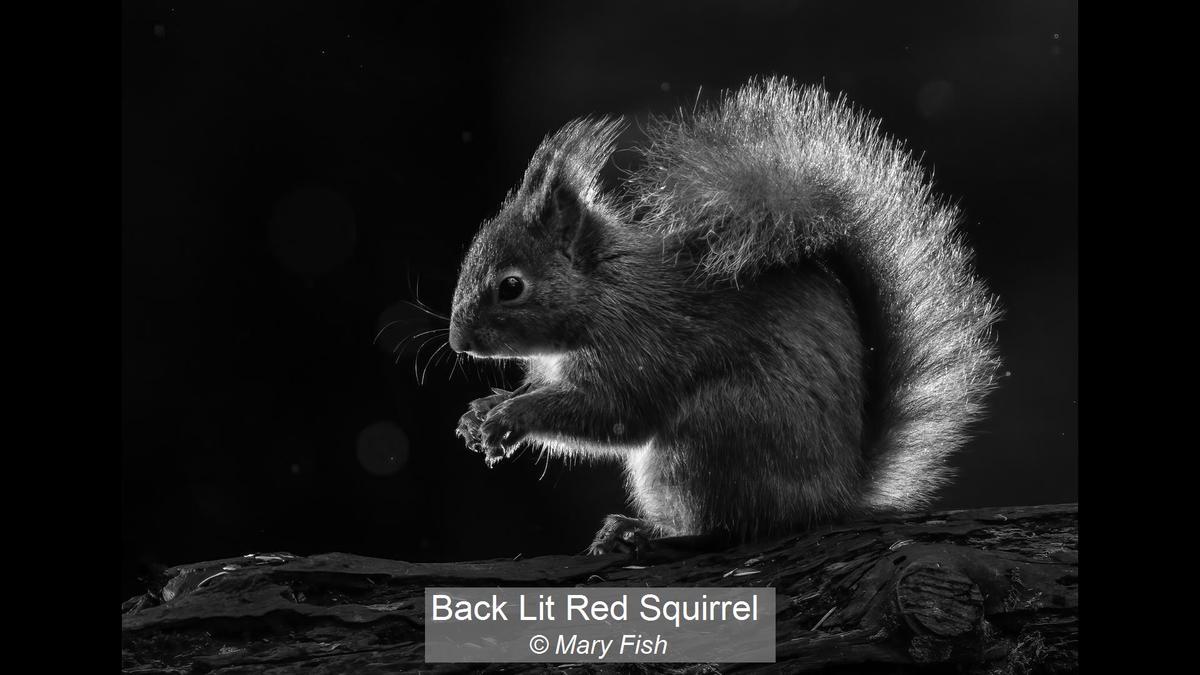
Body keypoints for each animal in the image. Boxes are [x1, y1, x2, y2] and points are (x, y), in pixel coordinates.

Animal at [446, 78, 998, 552]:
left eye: (511, 287)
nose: (458, 343)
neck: (604, 290)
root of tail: (833, 496)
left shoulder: (638, 344)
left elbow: (613, 412)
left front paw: (511, 415)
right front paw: (483, 411)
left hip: (708, 440)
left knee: (725, 526)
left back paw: (650, 534)